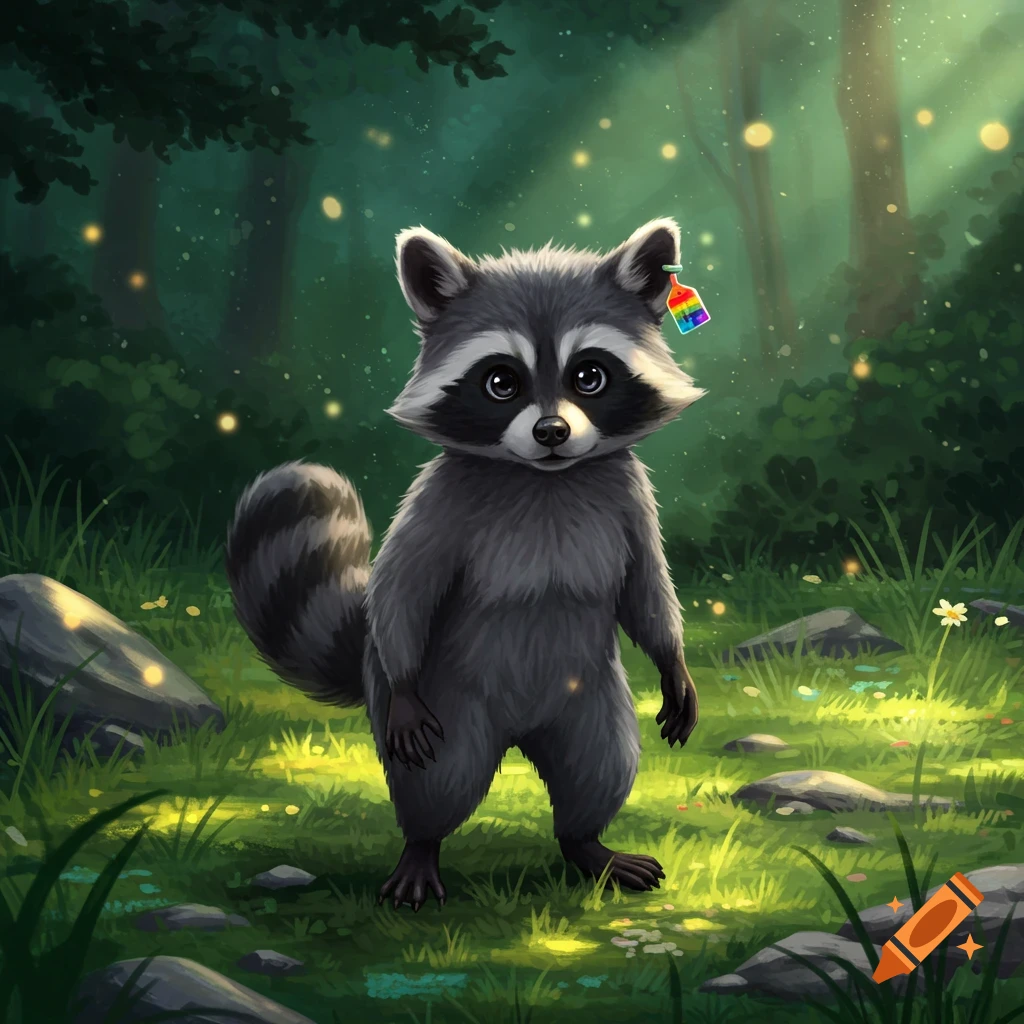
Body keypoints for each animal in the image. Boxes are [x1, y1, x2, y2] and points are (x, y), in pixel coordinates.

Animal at [225, 218, 704, 911]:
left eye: (590, 376)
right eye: (500, 381)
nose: (553, 432)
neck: (544, 478)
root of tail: (521, 727)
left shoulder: (630, 497)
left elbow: (646, 590)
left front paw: (673, 661)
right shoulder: (442, 501)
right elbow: (404, 587)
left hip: (590, 696)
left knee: (601, 763)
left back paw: (587, 842)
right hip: (449, 700)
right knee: (439, 780)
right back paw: (421, 848)